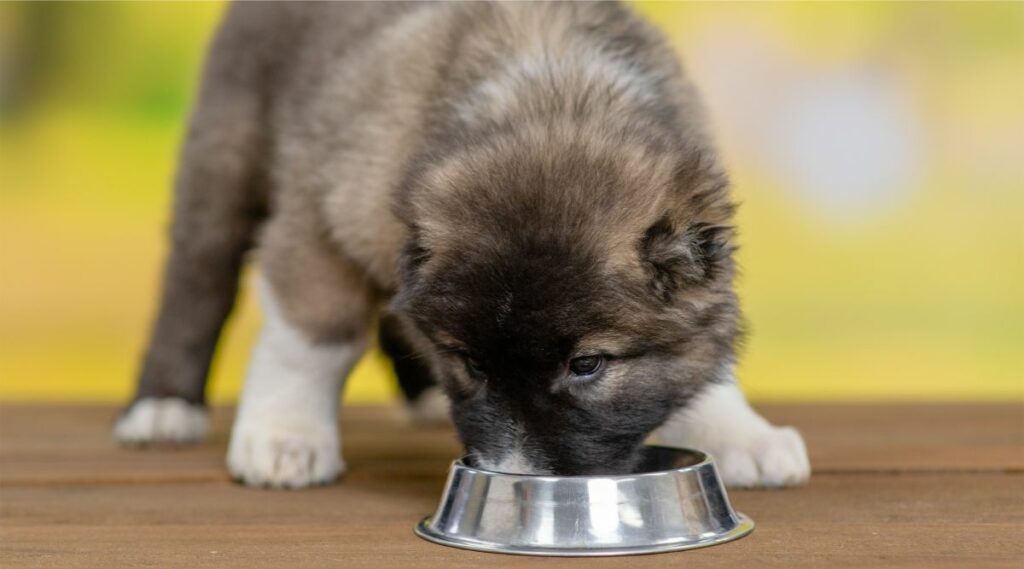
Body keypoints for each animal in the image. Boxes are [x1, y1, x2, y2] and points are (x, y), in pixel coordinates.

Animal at [116, 0, 811, 489]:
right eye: (470, 362)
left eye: (587, 364)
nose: (516, 478)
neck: (553, 96)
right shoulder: (319, 217)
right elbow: (313, 339)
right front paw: (286, 436)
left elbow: (707, 357)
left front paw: (738, 433)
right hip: (224, 158)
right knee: (196, 283)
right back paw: (164, 406)